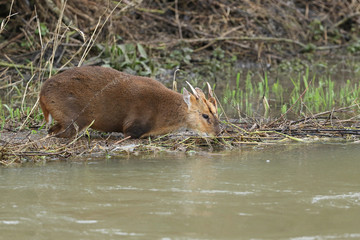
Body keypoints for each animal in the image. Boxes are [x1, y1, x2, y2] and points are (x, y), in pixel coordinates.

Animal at [38, 66, 219, 139]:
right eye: (205, 115)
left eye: (216, 113)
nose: (219, 132)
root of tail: (42, 93)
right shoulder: (132, 127)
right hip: (73, 118)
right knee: (55, 132)